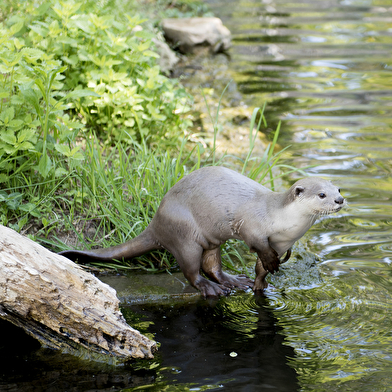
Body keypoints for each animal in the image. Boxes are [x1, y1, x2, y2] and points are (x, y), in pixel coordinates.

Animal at [59, 165, 344, 298]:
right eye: (322, 194)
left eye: (338, 189)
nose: (340, 200)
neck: (285, 222)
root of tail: (157, 221)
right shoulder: (254, 227)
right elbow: (260, 248)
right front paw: (270, 266)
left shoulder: (283, 242)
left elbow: (261, 267)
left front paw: (259, 285)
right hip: (186, 237)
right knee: (192, 271)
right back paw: (211, 289)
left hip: (211, 241)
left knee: (211, 265)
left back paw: (232, 281)